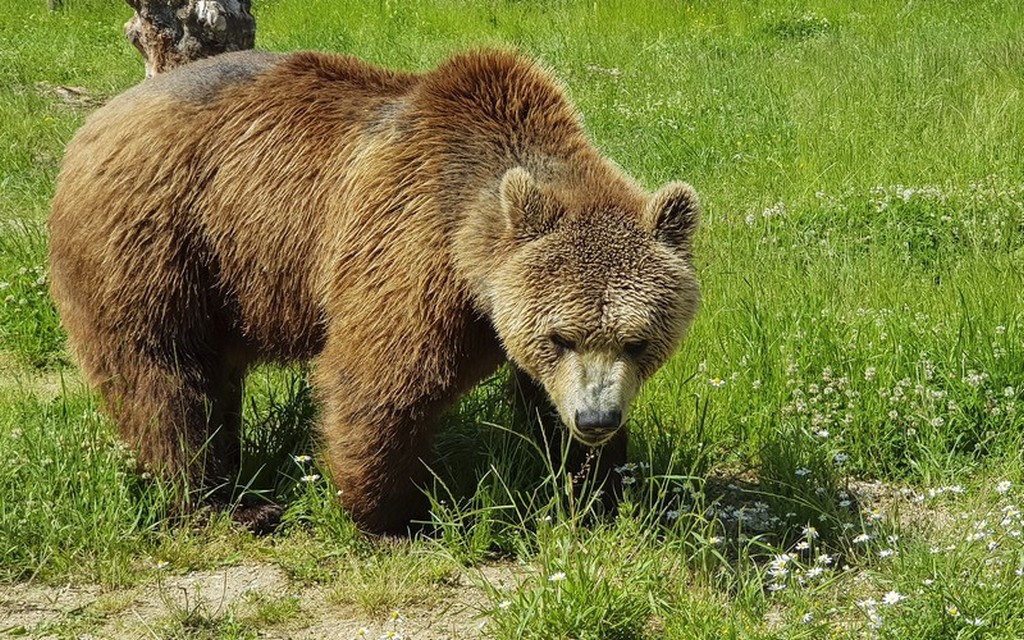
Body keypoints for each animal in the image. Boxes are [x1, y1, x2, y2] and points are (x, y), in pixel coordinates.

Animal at [49, 49, 704, 532]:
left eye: (638, 341)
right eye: (561, 336)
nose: (596, 417)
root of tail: (95, 120)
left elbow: (541, 401)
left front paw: (597, 489)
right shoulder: (408, 243)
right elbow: (380, 377)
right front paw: (395, 516)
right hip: (158, 238)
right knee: (163, 372)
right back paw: (224, 501)